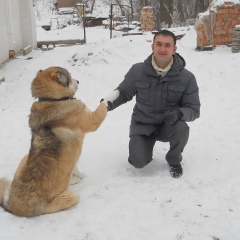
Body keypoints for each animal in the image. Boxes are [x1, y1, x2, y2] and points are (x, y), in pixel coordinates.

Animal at [0, 66, 107, 217]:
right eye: (70, 78)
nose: (78, 81)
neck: (53, 99)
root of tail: (12, 206)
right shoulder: (92, 120)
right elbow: (103, 107)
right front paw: (110, 97)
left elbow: (75, 167)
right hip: (71, 197)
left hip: (24, 158)